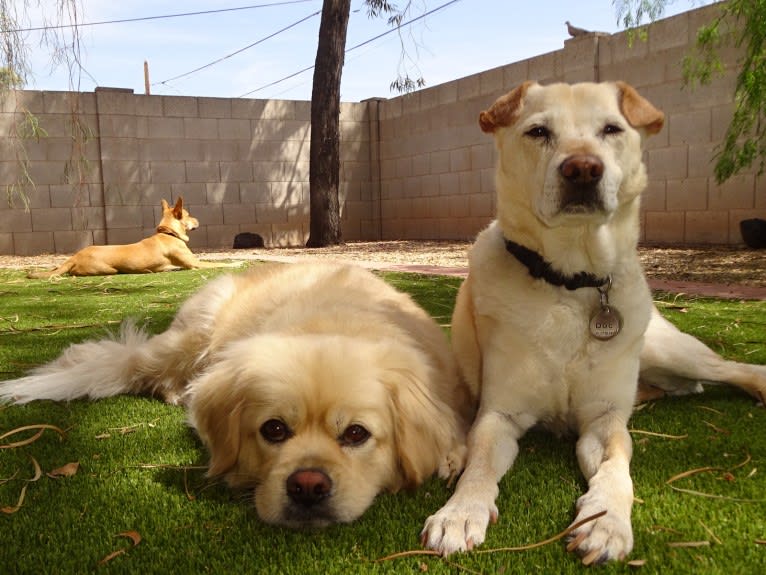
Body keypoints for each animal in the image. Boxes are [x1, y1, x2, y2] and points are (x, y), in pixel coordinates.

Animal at [0, 264, 472, 528]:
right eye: (274, 429)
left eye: (356, 434)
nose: (308, 485)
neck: (337, 322)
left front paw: (449, 454)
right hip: (190, 338)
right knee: (129, 364)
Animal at [28, 198, 240, 280]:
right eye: (188, 215)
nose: (198, 220)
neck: (168, 233)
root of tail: (75, 256)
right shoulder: (196, 264)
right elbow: (220, 263)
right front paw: (236, 262)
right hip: (108, 269)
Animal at [420, 83, 766, 564]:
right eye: (538, 131)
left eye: (611, 129)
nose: (582, 168)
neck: (571, 281)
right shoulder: (499, 413)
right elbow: (481, 461)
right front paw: (460, 512)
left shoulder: (604, 420)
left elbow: (616, 466)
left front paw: (607, 521)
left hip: (665, 348)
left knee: (732, 368)